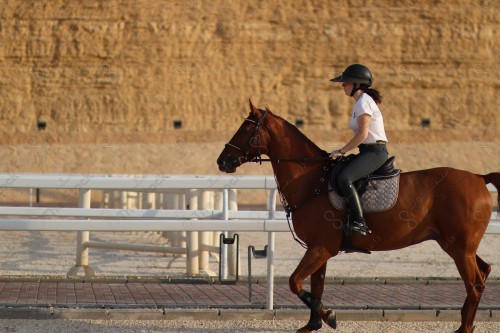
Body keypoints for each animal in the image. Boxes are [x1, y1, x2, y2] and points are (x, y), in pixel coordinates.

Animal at [216, 99, 500, 332]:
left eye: (245, 128)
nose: (222, 161)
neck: (313, 180)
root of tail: (479, 177)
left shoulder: (321, 248)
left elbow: (295, 283)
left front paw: (329, 316)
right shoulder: (320, 249)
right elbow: (315, 287)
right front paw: (314, 324)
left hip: (460, 248)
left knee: (474, 285)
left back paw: (464, 328)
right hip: (456, 245)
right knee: (483, 273)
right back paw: (464, 324)